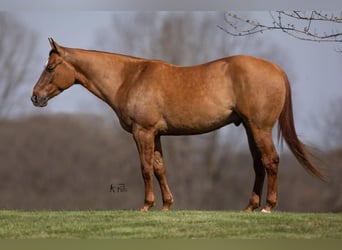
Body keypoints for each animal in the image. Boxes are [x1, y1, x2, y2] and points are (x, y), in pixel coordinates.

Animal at [30, 38, 324, 212]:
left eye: (51, 67)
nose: (35, 97)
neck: (129, 77)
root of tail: (276, 69)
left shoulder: (143, 132)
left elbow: (145, 168)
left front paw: (146, 206)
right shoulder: (156, 134)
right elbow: (160, 167)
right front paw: (166, 205)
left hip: (260, 127)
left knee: (271, 161)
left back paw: (268, 207)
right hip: (251, 129)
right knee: (259, 164)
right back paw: (250, 207)